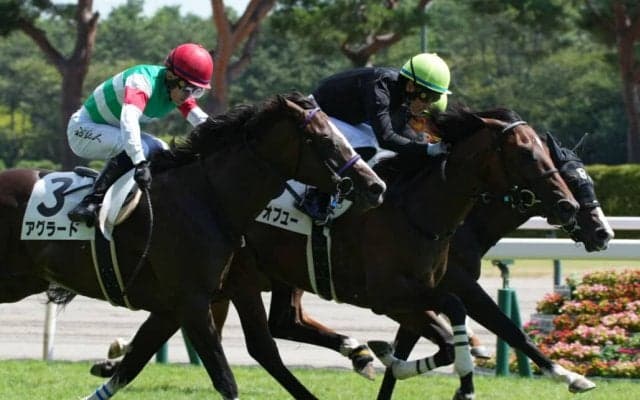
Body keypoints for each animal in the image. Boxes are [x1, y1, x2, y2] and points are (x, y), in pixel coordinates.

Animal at [0, 92, 386, 400]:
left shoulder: (178, 306)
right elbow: (226, 379)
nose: (375, 186)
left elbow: (133, 366)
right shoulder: (194, 303)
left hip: (22, 281)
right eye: (324, 139)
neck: (208, 198)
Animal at [90, 106, 580, 399]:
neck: (418, 210)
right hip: (234, 278)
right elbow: (454, 329)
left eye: (551, 157)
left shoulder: (430, 289)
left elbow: (469, 331)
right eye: (525, 154)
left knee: (268, 325)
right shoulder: (390, 296)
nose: (570, 207)